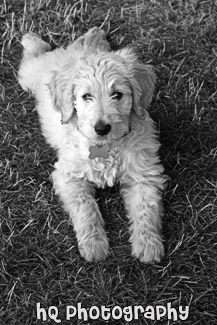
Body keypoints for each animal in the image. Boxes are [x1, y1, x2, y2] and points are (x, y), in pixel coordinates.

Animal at [18, 26, 167, 262]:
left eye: (117, 95)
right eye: (86, 96)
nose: (101, 128)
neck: (107, 145)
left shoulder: (144, 174)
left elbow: (146, 209)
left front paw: (148, 245)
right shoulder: (69, 175)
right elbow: (85, 208)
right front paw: (94, 245)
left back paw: (95, 34)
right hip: (30, 75)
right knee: (33, 57)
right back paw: (31, 40)